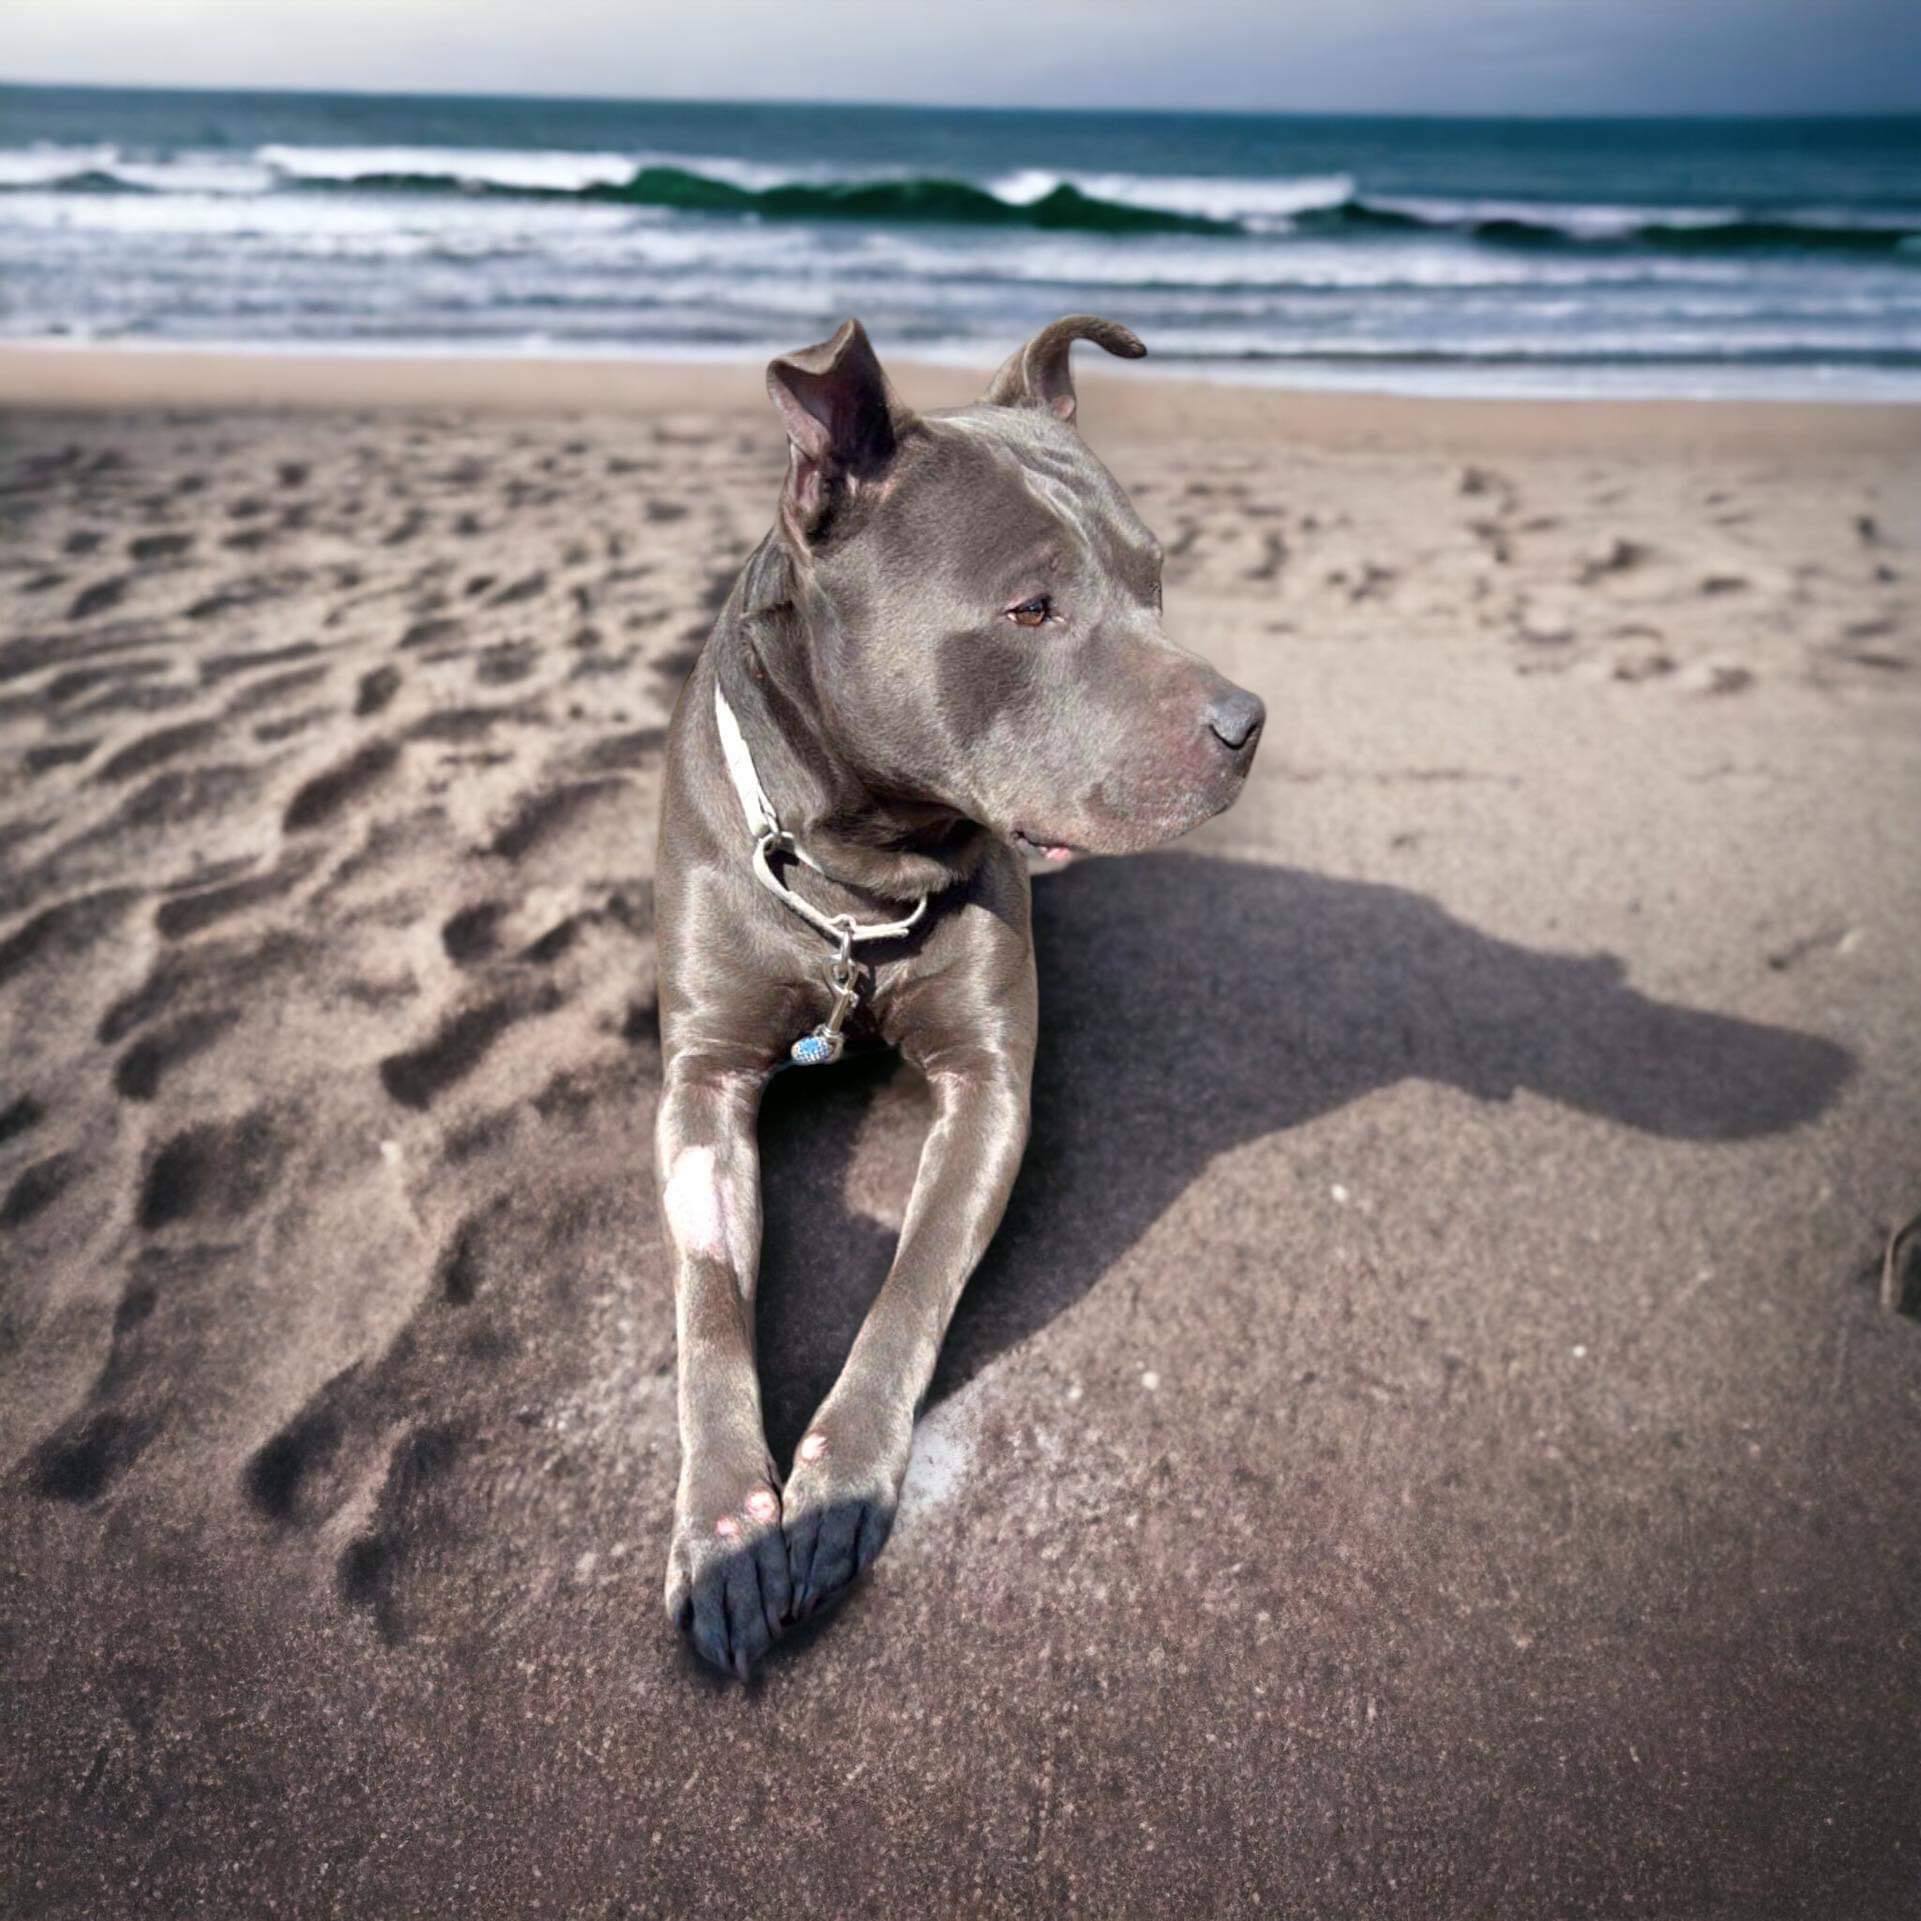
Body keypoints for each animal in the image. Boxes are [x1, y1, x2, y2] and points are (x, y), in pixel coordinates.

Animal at [653, 311, 1267, 1667]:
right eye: (1030, 607)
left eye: (1153, 576)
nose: (1247, 721)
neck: (860, 874)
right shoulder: (700, 1083)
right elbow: (708, 1302)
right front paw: (726, 1530)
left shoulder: (989, 1084)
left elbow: (911, 1289)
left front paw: (832, 1491)